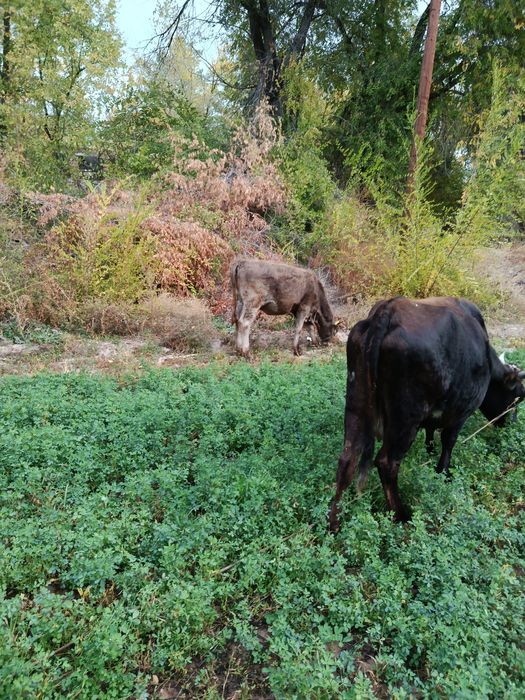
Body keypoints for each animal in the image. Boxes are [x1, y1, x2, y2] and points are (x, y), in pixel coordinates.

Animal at [329, 296, 525, 530]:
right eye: (518, 396)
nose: (510, 424)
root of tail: (389, 311)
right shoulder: (460, 412)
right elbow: (448, 443)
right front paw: (444, 473)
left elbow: (431, 435)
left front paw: (430, 454)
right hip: (405, 420)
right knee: (387, 463)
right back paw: (402, 516)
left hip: (356, 405)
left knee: (346, 461)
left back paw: (333, 524)